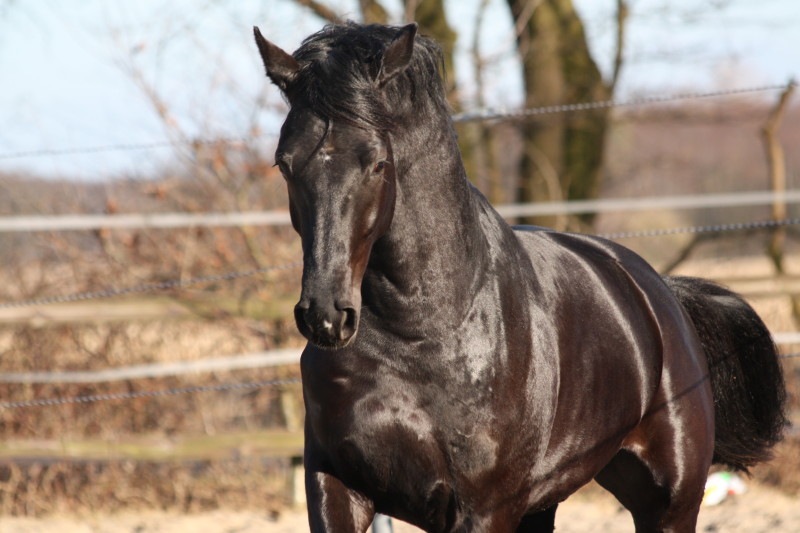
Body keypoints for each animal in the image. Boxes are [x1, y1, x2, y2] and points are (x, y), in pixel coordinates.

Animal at [253, 22, 786, 533]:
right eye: (285, 163)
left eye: (377, 162)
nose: (325, 315)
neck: (419, 335)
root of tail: (657, 292)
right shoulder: (337, 491)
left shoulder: (484, 510)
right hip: (543, 502)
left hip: (670, 504)